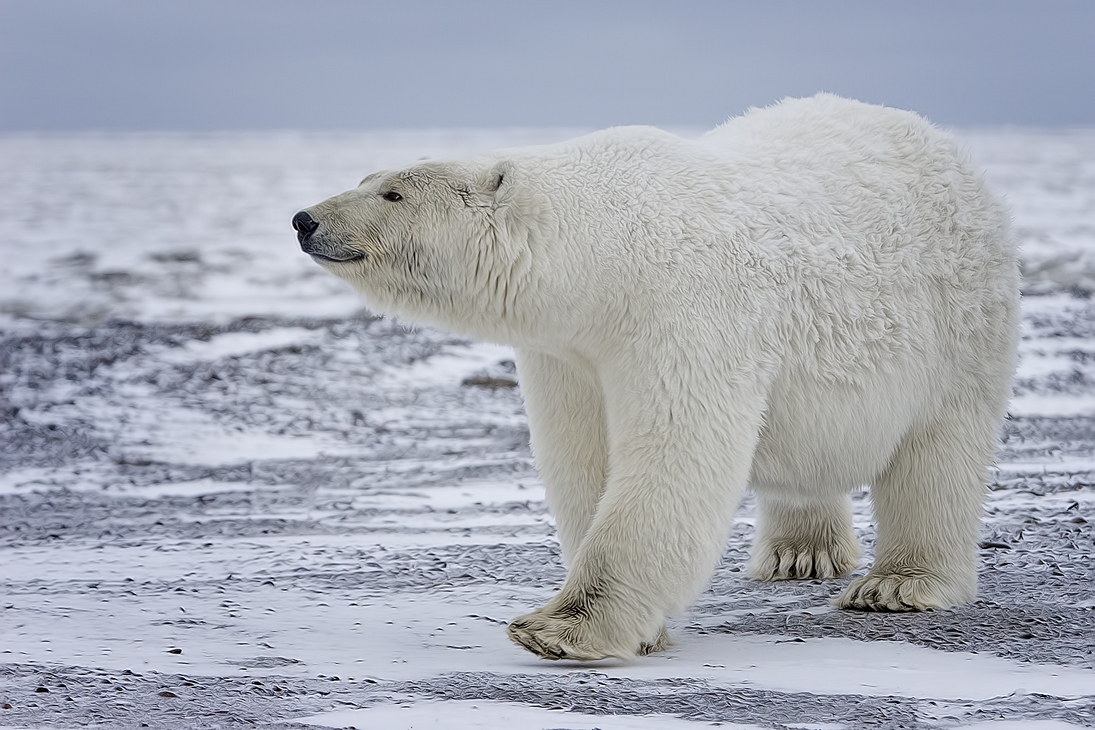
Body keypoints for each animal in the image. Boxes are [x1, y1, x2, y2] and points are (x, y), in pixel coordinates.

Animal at [291, 95, 1016, 661]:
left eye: (393, 192)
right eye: (367, 173)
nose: (305, 219)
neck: (606, 250)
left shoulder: (681, 309)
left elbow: (673, 452)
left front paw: (559, 629)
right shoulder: (569, 351)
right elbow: (582, 459)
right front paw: (636, 626)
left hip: (957, 319)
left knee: (937, 451)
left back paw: (896, 585)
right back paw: (799, 554)